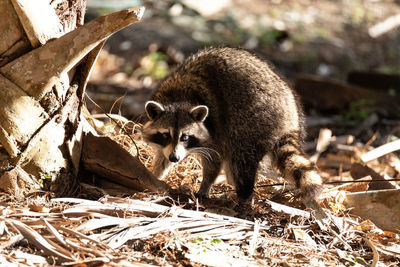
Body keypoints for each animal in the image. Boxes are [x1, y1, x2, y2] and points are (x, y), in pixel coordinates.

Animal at [142, 47, 324, 202]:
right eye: (165, 135)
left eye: (185, 137)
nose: (175, 158)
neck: (177, 99)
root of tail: (289, 117)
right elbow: (162, 157)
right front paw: (156, 174)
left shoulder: (215, 129)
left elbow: (214, 161)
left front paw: (206, 184)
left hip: (254, 122)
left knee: (240, 160)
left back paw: (243, 195)